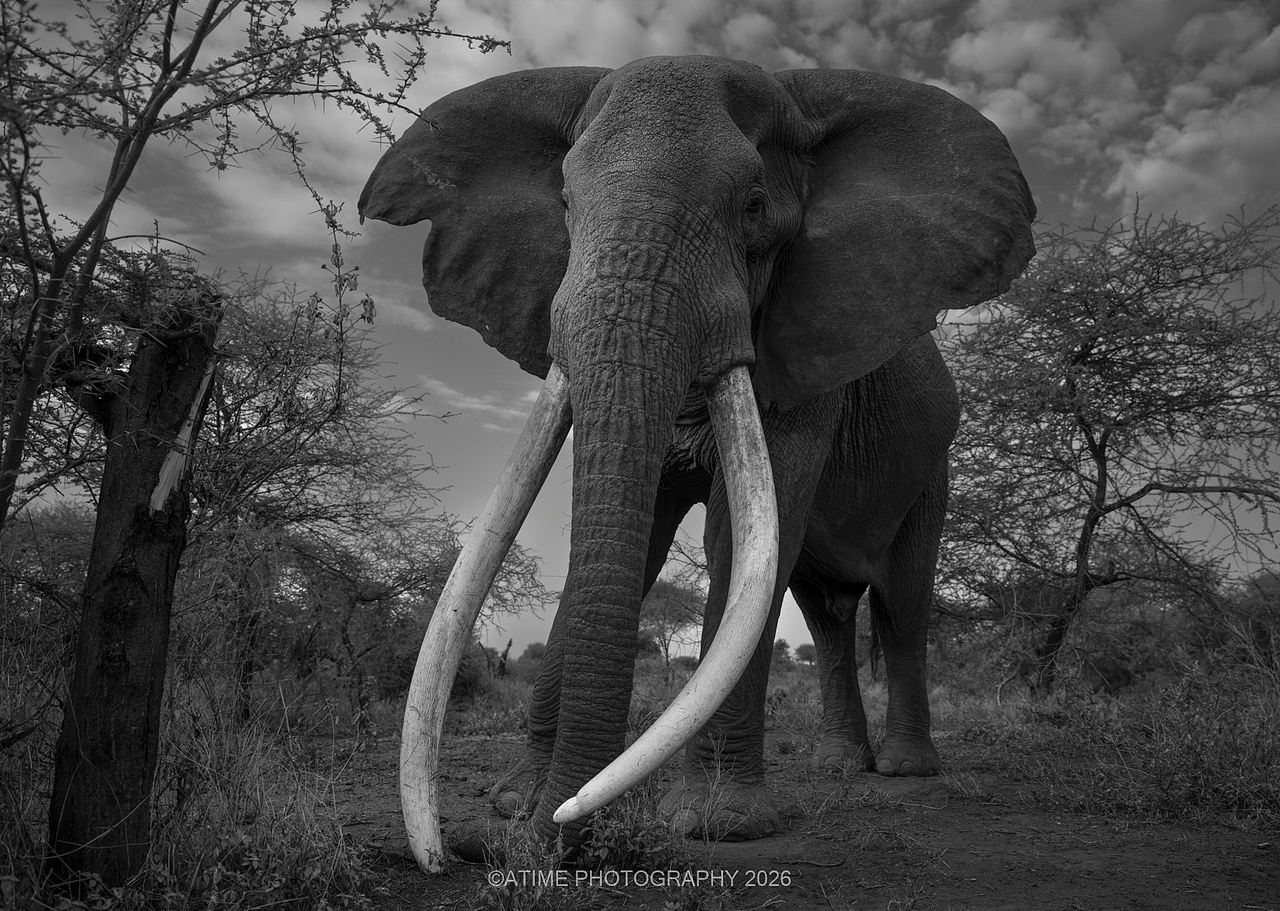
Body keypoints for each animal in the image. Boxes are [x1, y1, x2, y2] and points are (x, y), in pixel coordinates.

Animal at [359, 55, 1035, 870]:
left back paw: (905, 770)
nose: (478, 849)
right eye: (564, 201)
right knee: (827, 614)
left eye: (753, 205)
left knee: (902, 603)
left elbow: (731, 542)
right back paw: (841, 766)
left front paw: (719, 824)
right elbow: (640, 533)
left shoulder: (804, 355)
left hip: (933, 468)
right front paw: (516, 802)